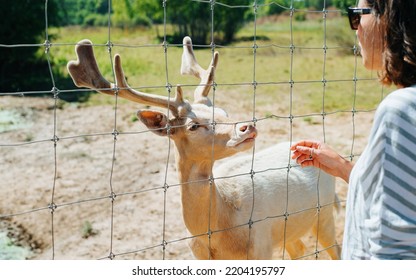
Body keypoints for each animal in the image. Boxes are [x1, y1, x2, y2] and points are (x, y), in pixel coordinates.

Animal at [66, 36, 340, 260]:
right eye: (193, 125)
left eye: (223, 111)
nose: (247, 127)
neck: (217, 237)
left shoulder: (261, 247)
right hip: (289, 229)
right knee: (300, 249)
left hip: (324, 213)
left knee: (335, 248)